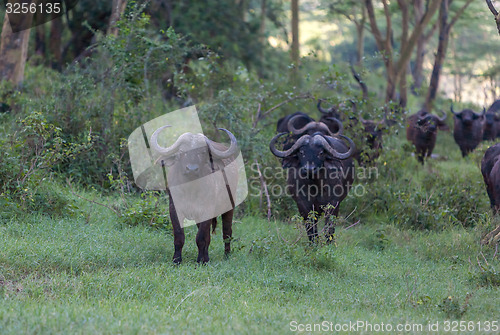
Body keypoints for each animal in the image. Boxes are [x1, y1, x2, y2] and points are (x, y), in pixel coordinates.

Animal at [149, 126, 239, 266]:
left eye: (202, 152)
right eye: (181, 152)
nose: (191, 169)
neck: (190, 190)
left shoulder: (207, 210)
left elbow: (201, 237)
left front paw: (201, 261)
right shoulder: (174, 209)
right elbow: (179, 236)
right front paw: (177, 260)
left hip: (229, 206)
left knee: (227, 232)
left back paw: (226, 255)